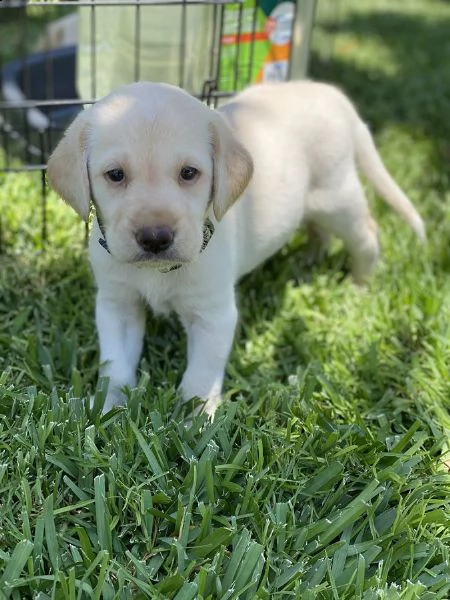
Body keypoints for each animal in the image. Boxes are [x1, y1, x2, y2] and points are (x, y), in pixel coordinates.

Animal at [48, 79, 426, 418]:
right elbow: (116, 366)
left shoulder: (213, 316)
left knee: (366, 233)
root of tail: (332, 94)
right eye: (115, 175)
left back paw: (359, 285)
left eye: (189, 173)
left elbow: (199, 378)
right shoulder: (117, 306)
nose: (155, 238)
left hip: (337, 197)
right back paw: (308, 260)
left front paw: (194, 426)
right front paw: (107, 409)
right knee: (320, 232)